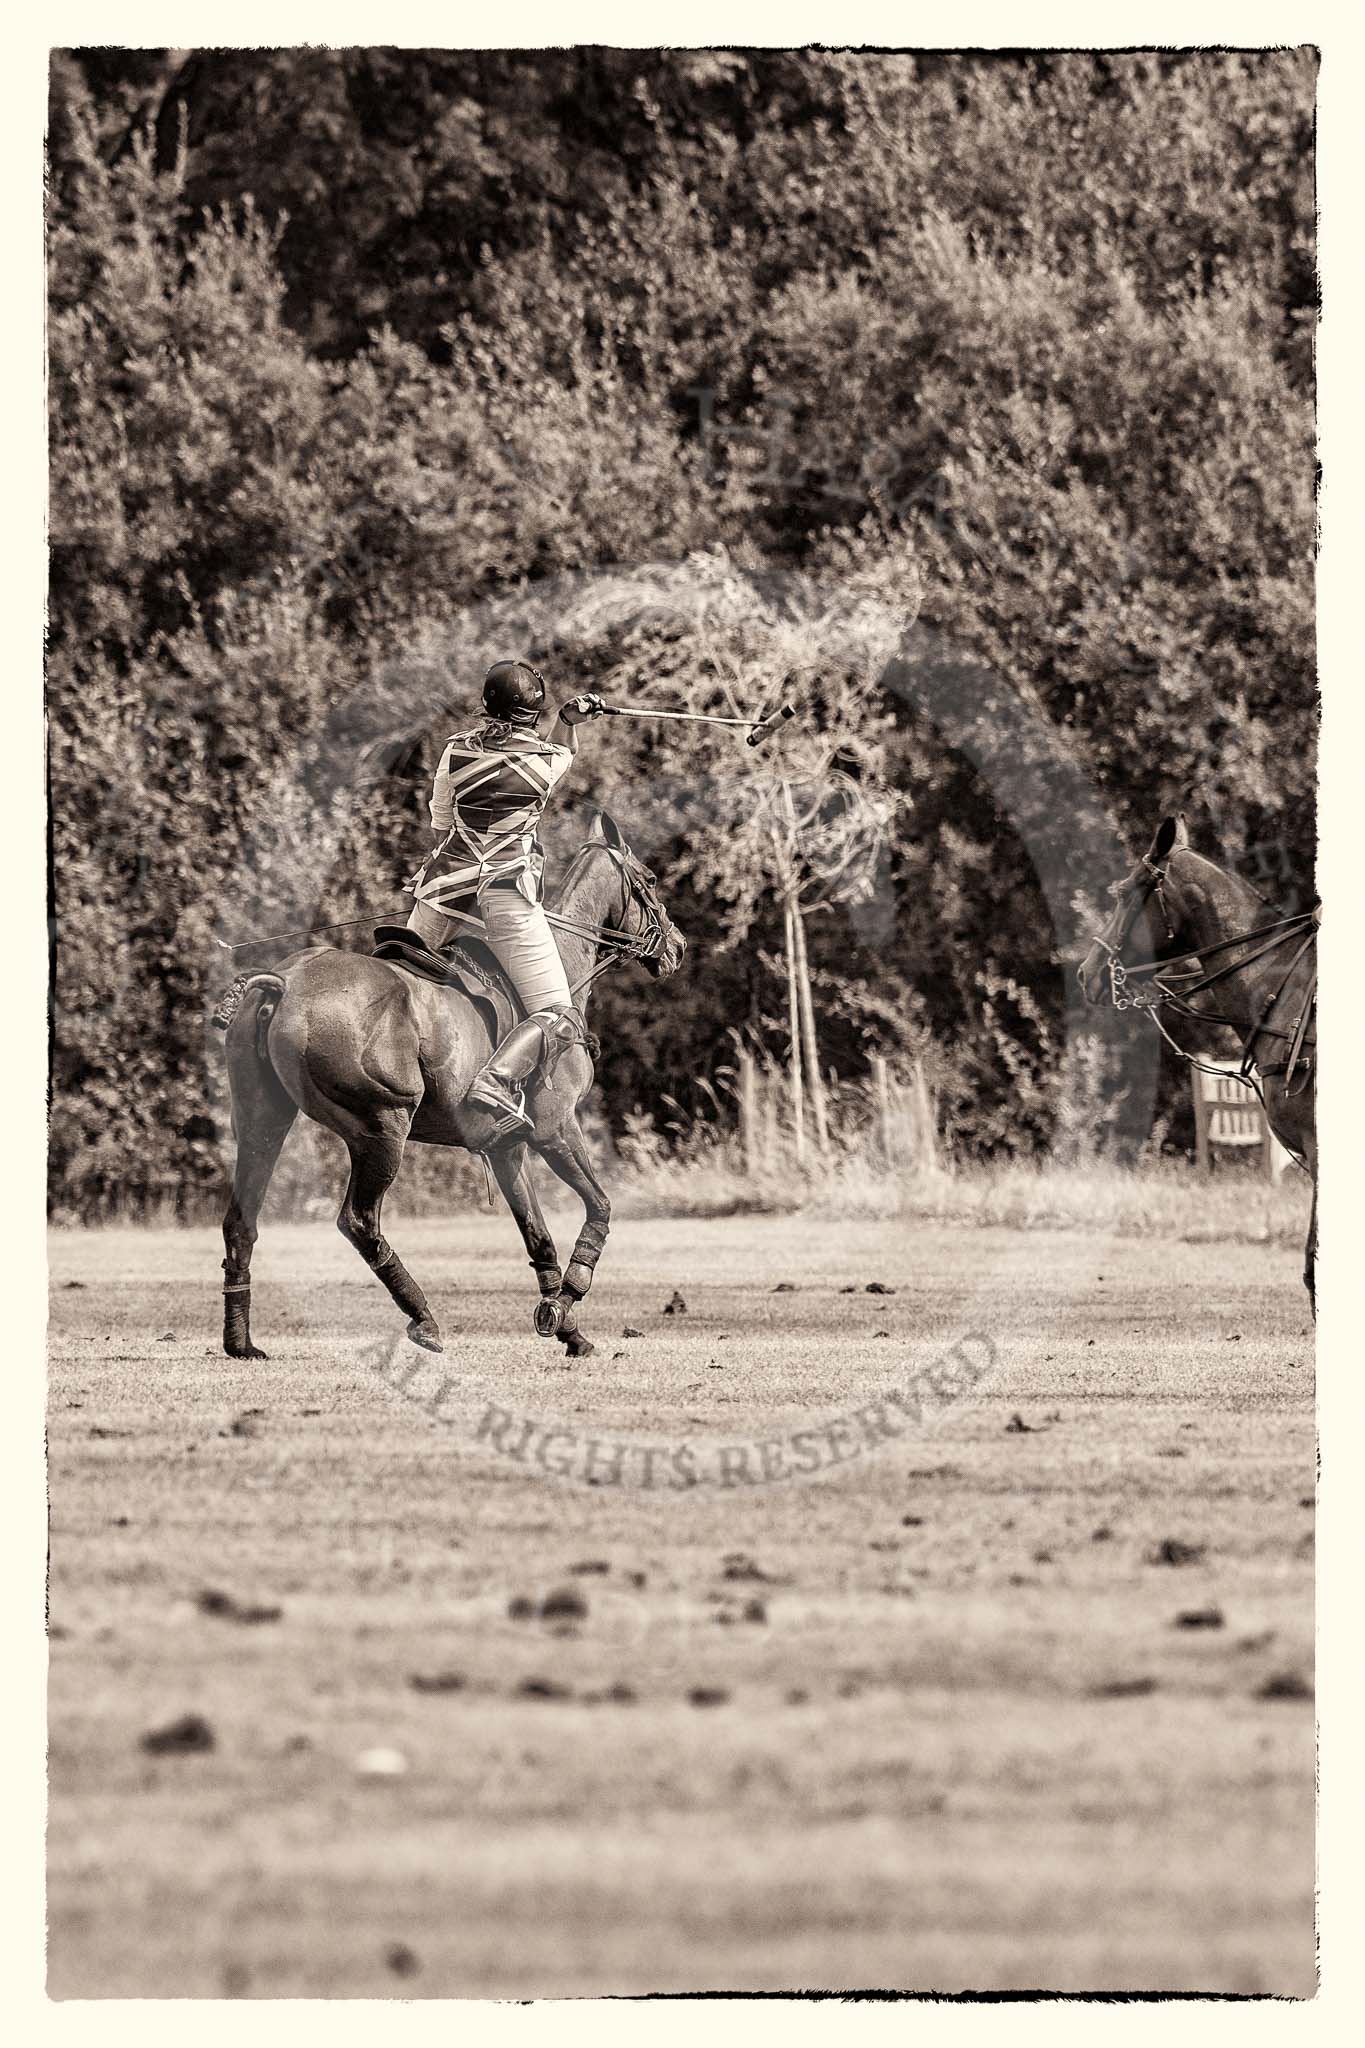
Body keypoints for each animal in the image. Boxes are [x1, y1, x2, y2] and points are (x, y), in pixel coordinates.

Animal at [222, 811, 683, 1359]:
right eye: (649, 879)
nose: (677, 946)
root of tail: (284, 983)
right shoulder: (555, 1130)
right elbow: (600, 1208)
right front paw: (568, 1298)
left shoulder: (506, 1147)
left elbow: (538, 1236)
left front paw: (567, 1327)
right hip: (382, 1127)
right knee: (358, 1221)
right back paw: (422, 1318)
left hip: (263, 1117)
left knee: (241, 1220)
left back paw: (240, 1341)